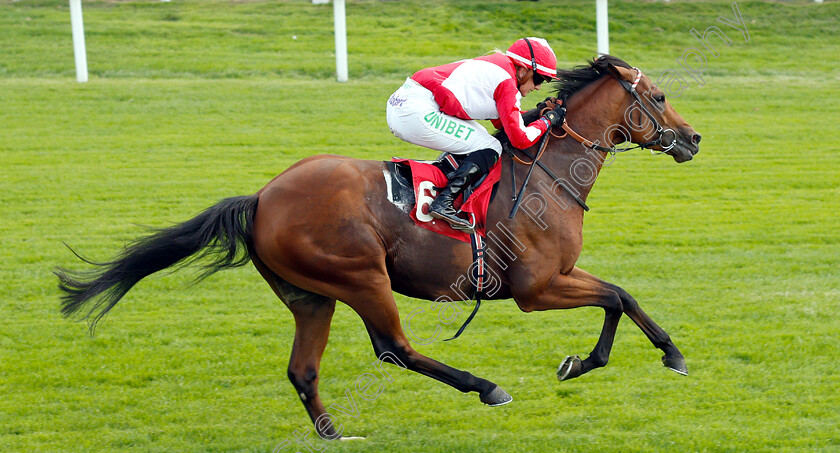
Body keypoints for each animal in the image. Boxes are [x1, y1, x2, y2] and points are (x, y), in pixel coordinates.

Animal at [55, 54, 704, 436]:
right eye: (659, 96)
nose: (694, 139)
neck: (550, 170)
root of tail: (262, 197)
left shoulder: (559, 277)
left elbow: (621, 295)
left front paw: (641, 356)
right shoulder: (535, 287)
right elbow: (615, 295)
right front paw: (619, 359)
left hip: (311, 295)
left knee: (303, 369)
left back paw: (334, 434)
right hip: (362, 277)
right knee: (394, 348)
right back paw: (486, 388)